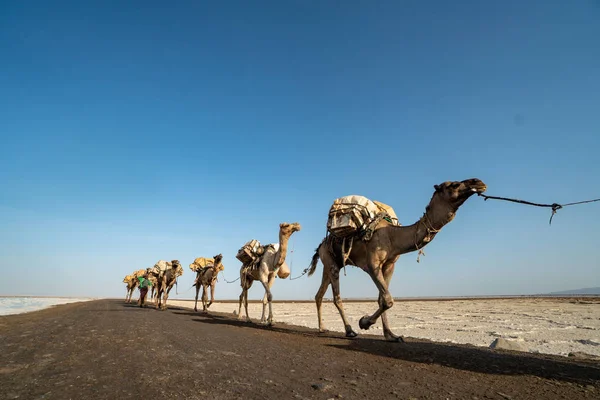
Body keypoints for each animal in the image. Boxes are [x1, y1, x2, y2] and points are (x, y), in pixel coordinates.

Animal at [308, 178, 486, 340]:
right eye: (453, 185)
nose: (479, 182)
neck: (392, 236)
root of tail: (320, 246)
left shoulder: (390, 265)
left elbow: (382, 299)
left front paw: (391, 335)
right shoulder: (372, 265)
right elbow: (388, 300)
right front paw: (364, 322)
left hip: (331, 263)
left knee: (319, 294)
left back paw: (322, 328)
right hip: (331, 261)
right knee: (337, 297)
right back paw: (349, 330)